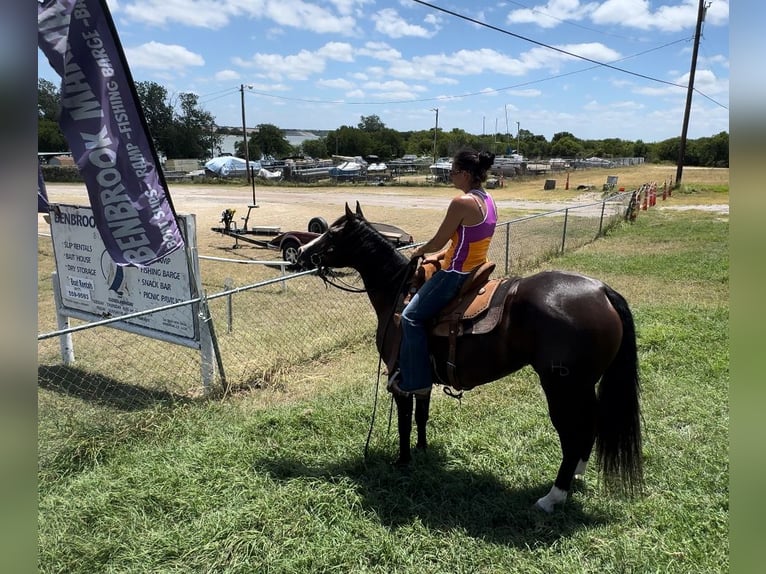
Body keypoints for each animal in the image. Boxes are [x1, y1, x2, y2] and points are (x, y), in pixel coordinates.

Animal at [300, 202, 640, 512]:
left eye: (332, 232)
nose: (301, 252)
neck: (398, 292)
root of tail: (602, 291)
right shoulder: (422, 377)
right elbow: (422, 416)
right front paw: (422, 451)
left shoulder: (402, 377)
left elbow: (404, 422)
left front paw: (403, 460)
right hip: (583, 387)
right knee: (590, 425)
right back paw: (578, 475)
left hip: (563, 388)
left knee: (573, 433)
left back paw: (552, 497)